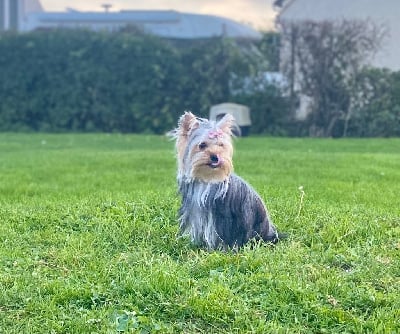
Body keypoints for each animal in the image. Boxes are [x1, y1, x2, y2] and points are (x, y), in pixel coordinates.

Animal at [169, 112, 282, 250]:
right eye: (202, 145)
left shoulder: (224, 218)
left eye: (221, 145)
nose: (215, 157)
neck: (208, 179)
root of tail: (271, 234)